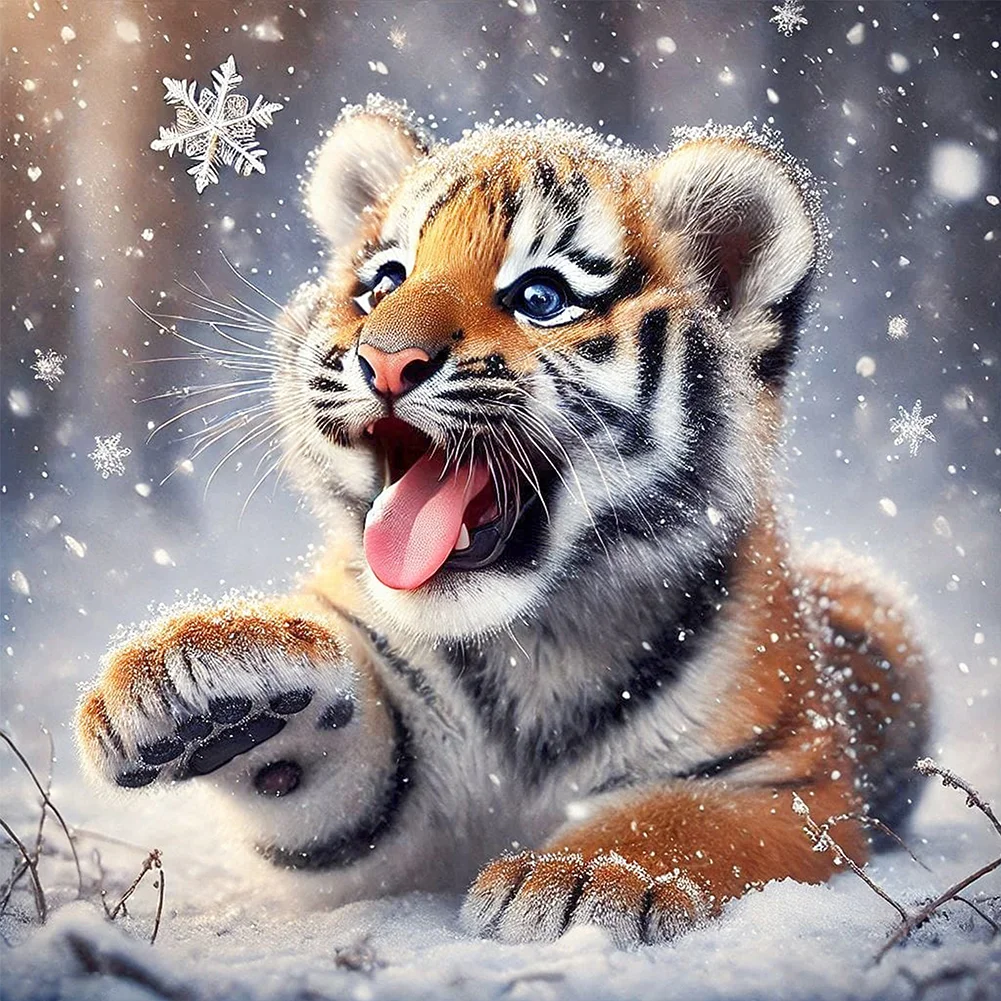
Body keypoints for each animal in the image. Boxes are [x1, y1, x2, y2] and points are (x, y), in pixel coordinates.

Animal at [76, 97, 929, 947]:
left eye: (539, 297)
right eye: (383, 282)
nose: (385, 360)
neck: (538, 642)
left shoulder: (794, 778)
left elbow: (685, 815)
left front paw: (582, 876)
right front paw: (200, 674)